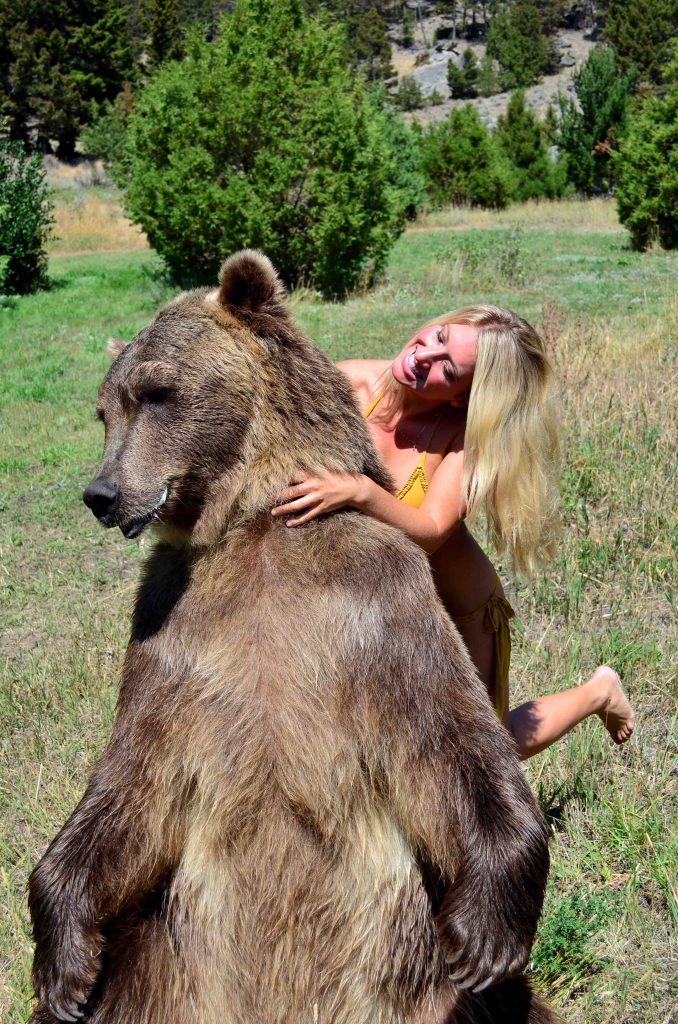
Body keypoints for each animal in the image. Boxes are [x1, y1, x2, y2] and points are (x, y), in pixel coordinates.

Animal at [28, 250, 558, 1024]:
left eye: (156, 392)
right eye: (104, 409)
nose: (102, 494)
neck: (253, 519)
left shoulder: (371, 612)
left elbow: (450, 742)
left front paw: (486, 937)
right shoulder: (175, 637)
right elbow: (131, 782)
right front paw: (63, 969)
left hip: (413, 973)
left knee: (486, 1002)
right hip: (161, 960)